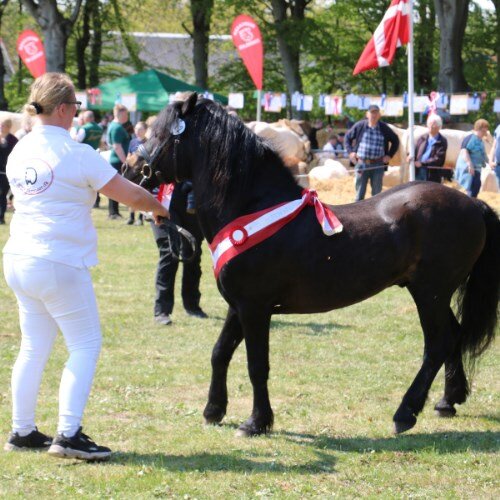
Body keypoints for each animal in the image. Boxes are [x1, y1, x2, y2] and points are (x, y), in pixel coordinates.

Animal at [124, 93, 496, 434]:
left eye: (159, 133)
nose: (129, 168)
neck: (253, 207)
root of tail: (473, 204)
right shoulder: (238, 305)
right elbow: (220, 352)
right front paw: (214, 410)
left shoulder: (255, 308)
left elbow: (256, 364)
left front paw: (256, 422)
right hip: (435, 294)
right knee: (454, 336)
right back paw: (448, 401)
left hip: (430, 293)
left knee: (437, 344)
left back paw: (405, 414)